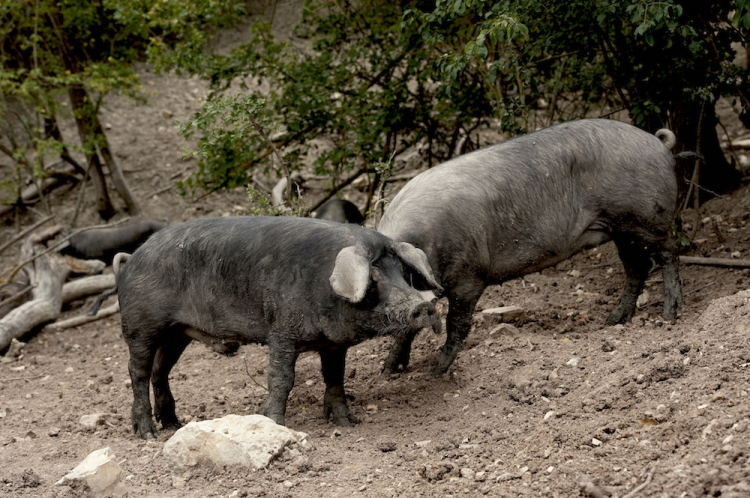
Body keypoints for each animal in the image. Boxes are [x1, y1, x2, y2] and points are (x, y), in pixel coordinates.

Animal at [118, 216, 444, 438]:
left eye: (403, 273)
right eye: (373, 278)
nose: (425, 306)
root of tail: (131, 258)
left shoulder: (333, 343)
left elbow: (335, 378)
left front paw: (348, 423)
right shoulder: (281, 331)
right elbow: (282, 378)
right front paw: (274, 423)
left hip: (177, 334)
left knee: (160, 371)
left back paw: (174, 425)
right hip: (140, 327)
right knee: (138, 372)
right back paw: (148, 433)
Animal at [378, 118, 684, 376]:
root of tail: (657, 142)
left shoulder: (469, 276)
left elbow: (458, 322)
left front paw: (436, 371)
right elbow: (407, 329)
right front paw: (387, 372)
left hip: (645, 218)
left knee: (668, 253)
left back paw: (669, 314)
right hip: (622, 229)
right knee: (638, 267)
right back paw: (613, 321)